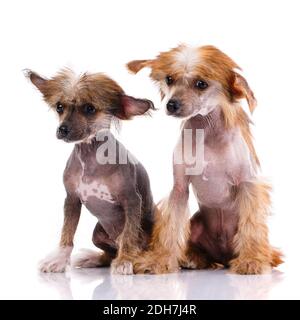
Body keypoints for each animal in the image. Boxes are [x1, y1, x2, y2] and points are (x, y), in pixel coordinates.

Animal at [25, 69, 155, 274]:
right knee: (109, 254)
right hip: (97, 234)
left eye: (89, 108)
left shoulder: (132, 200)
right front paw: (59, 260)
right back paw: (92, 259)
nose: (62, 129)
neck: (89, 158)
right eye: (60, 107)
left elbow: (129, 235)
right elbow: (67, 232)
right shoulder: (71, 199)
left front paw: (125, 260)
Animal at [127, 44, 282, 276]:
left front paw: (251, 260)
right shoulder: (179, 189)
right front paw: (158, 260)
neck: (206, 131)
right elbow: (171, 229)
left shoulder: (247, 184)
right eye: (169, 79)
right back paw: (192, 258)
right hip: (196, 225)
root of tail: (223, 257)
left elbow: (252, 226)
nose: (171, 104)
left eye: (201, 84)